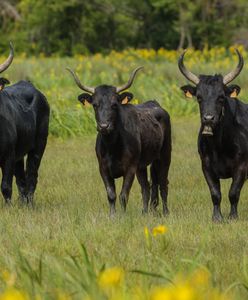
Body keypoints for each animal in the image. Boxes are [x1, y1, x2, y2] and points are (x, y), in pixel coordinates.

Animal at [69, 67, 171, 214]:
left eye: (114, 105)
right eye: (95, 105)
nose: (104, 126)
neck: (112, 146)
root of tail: (154, 104)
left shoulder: (130, 168)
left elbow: (124, 195)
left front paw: (123, 215)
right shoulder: (103, 168)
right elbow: (111, 194)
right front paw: (112, 215)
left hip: (165, 155)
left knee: (163, 183)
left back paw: (166, 212)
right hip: (142, 165)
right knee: (146, 186)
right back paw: (145, 212)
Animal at [179, 49, 247, 221]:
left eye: (221, 97)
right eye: (199, 97)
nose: (209, 118)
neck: (219, 145)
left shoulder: (241, 167)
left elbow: (233, 193)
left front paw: (233, 216)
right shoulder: (206, 166)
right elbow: (215, 194)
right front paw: (217, 217)